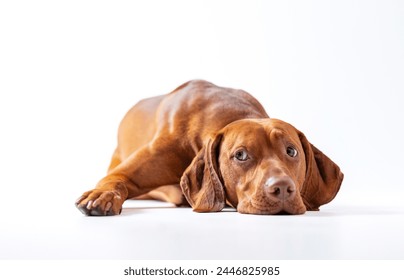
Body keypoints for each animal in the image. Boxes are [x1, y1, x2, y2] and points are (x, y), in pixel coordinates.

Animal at [76, 80, 344, 215]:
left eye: (291, 151)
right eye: (240, 155)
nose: (282, 189)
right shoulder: (126, 171)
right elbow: (115, 180)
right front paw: (102, 195)